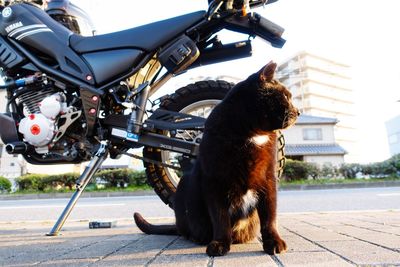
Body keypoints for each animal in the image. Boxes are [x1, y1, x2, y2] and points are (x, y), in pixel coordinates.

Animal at [134, 61, 300, 258]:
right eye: (285, 96)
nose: (299, 111)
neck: (252, 133)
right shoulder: (214, 180)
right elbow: (220, 217)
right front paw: (220, 243)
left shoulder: (268, 179)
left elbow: (269, 216)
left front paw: (273, 242)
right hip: (185, 183)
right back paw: (197, 236)